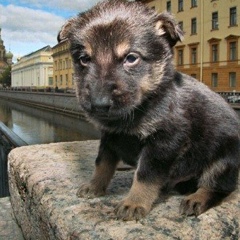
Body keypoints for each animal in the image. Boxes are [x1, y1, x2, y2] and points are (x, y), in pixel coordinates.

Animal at [58, 0, 240, 221]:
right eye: (84, 59)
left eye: (131, 58)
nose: (99, 104)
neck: (144, 105)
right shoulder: (109, 137)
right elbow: (102, 163)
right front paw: (95, 186)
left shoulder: (162, 143)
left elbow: (145, 175)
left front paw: (134, 202)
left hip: (224, 160)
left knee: (218, 186)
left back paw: (197, 199)